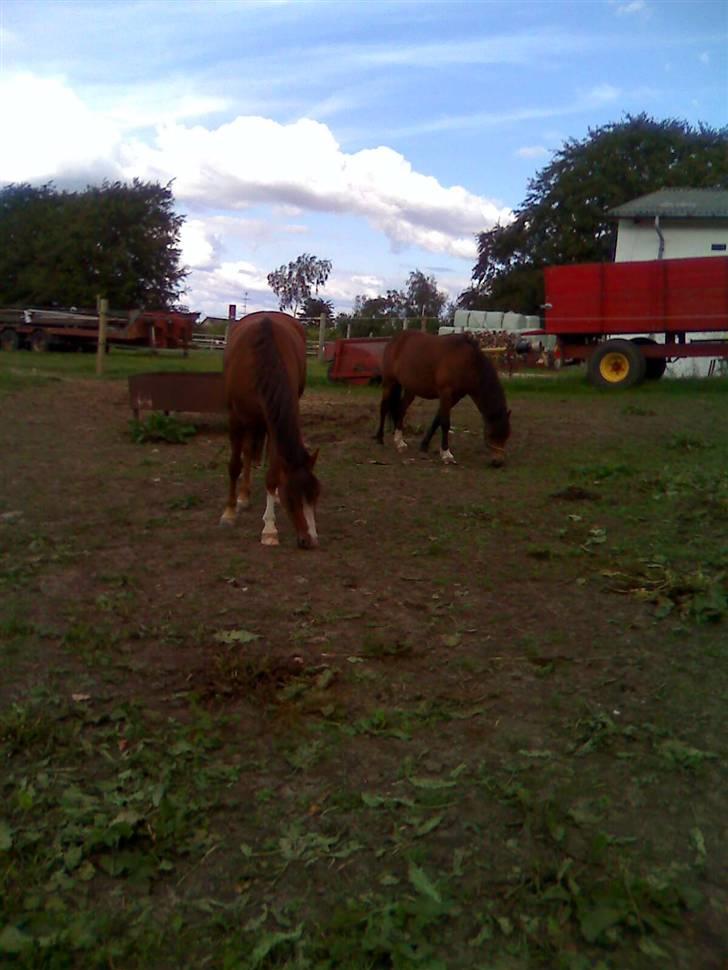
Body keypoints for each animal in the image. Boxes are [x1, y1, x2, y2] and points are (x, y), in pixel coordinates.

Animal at [219, 312, 320, 548]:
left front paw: (269, 528)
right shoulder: (235, 418)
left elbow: (273, 475)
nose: (311, 540)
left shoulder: (273, 421)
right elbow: (234, 465)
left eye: (315, 496)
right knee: (247, 453)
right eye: (291, 499)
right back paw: (243, 497)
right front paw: (229, 512)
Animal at [375, 330, 511, 466]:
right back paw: (379, 439)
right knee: (384, 407)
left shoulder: (455, 397)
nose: (498, 462)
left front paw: (424, 446)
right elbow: (445, 423)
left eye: (507, 435)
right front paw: (446, 454)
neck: (467, 361)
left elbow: (437, 419)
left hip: (410, 389)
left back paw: (399, 442)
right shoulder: (446, 393)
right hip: (389, 382)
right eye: (492, 434)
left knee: (401, 410)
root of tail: (395, 340)